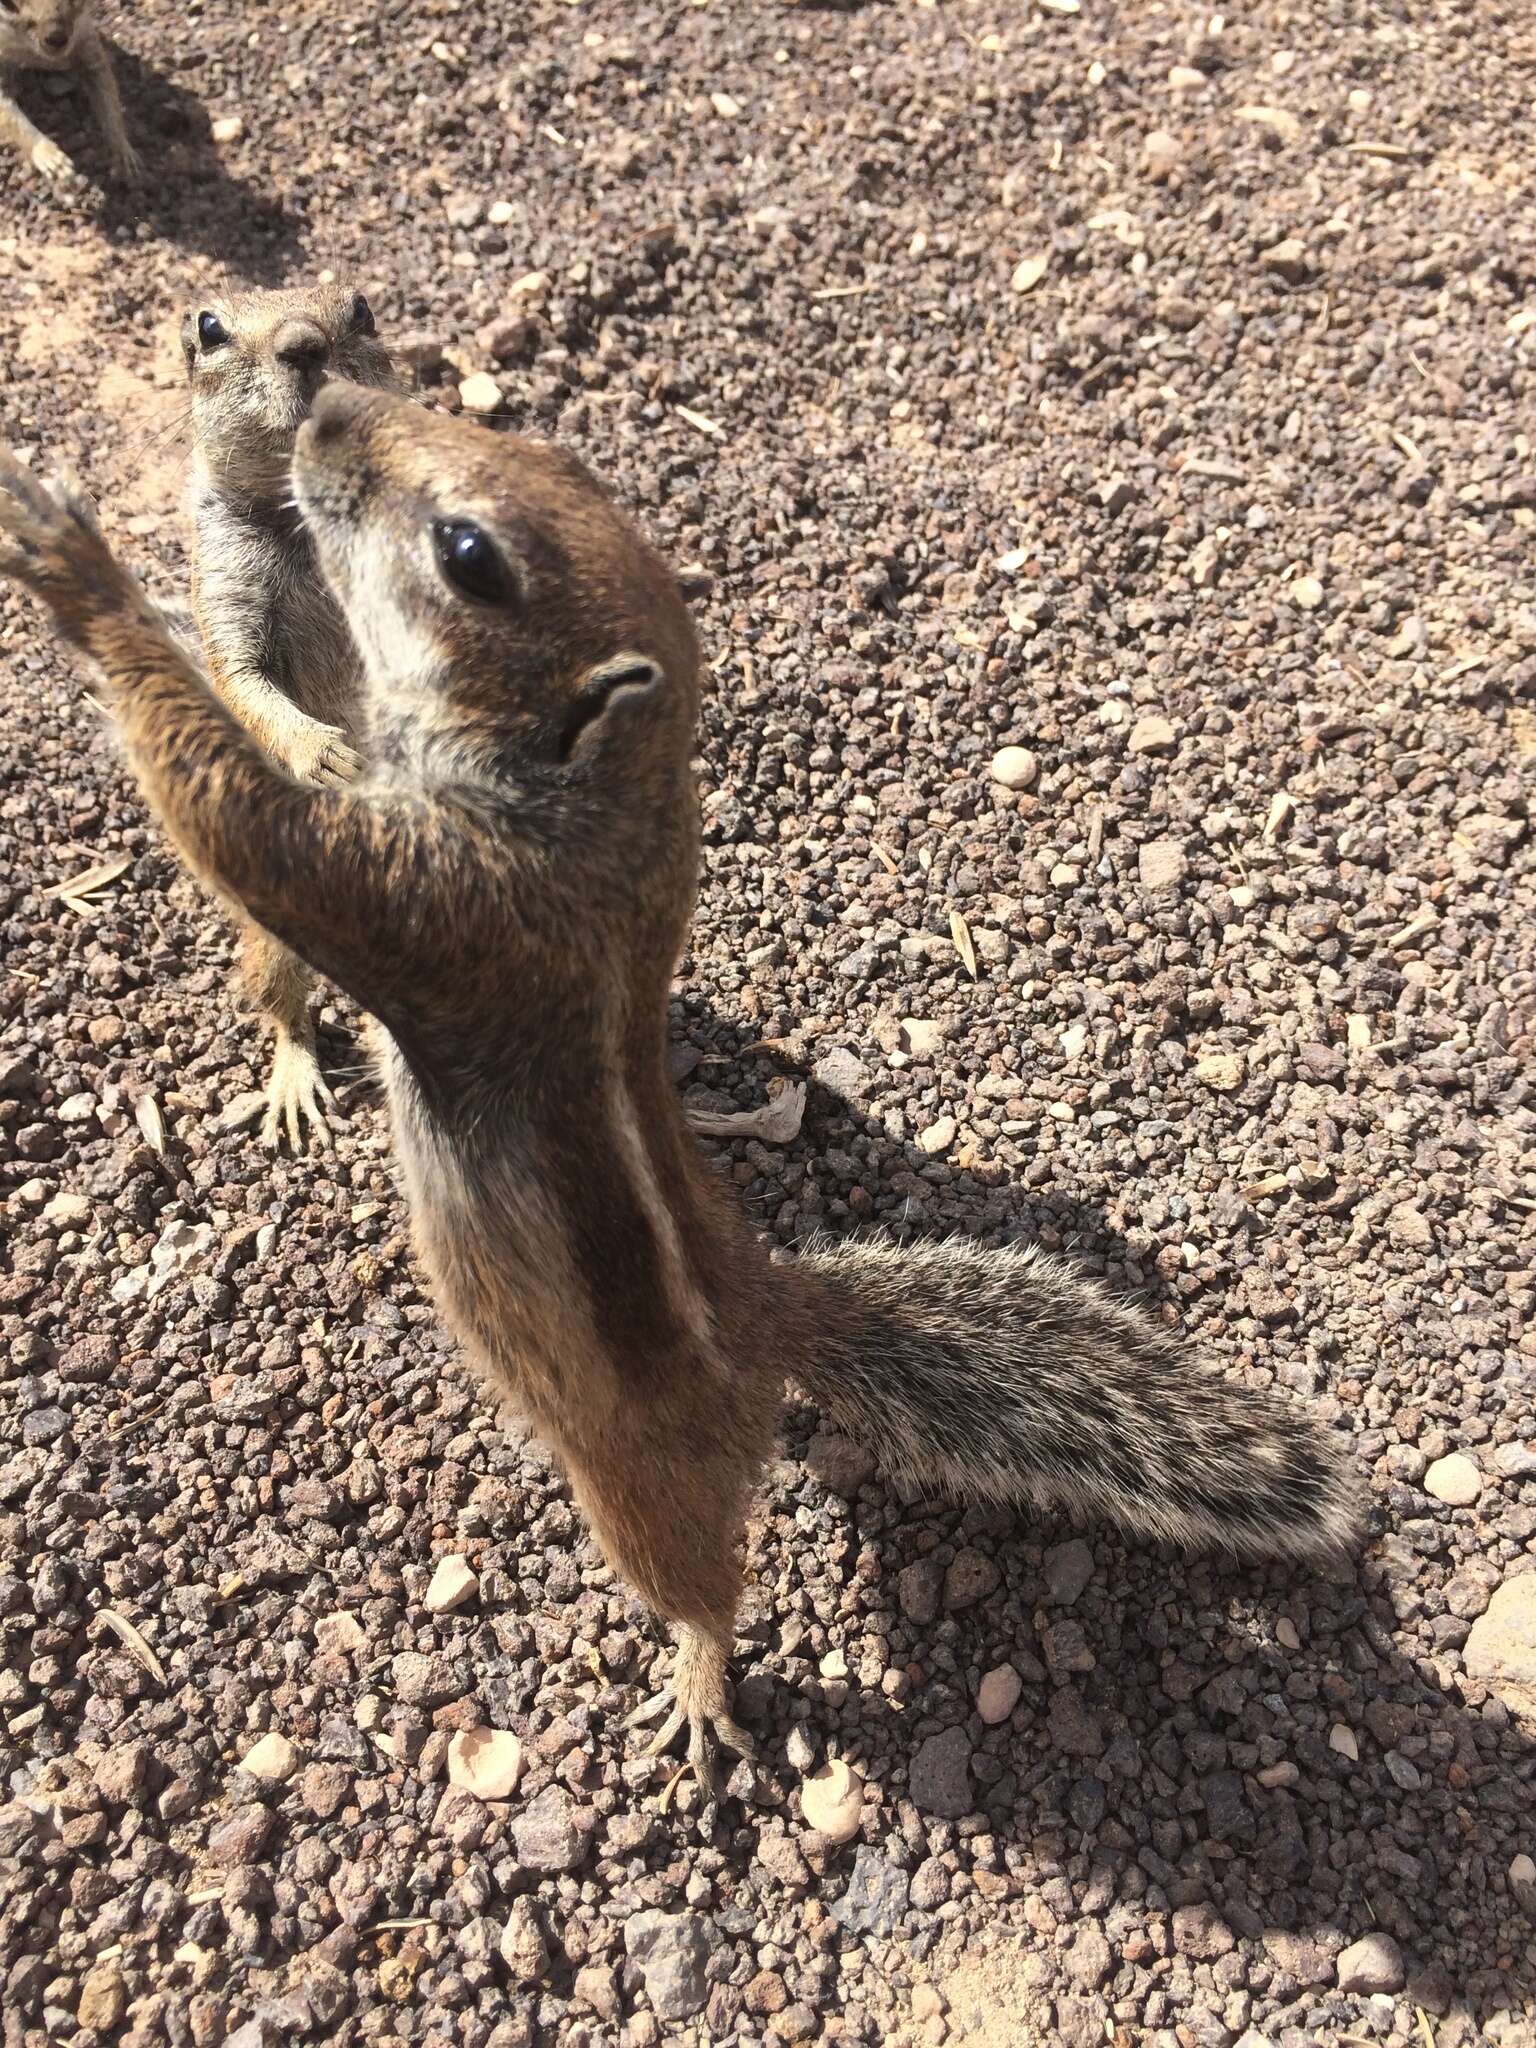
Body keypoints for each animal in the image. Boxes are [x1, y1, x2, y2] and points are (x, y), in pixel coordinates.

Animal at [0, 0, 140, 182]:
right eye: (9, 4)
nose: (56, 38)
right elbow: (12, 120)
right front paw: (52, 159)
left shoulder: (87, 40)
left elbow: (109, 99)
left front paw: (123, 152)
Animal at [0, 403, 1368, 1810]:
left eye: (469, 553)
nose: (326, 414)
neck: (604, 807)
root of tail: (775, 1310)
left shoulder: (433, 895)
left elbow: (242, 818)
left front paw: (77, 569)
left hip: (645, 1484)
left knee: (704, 1584)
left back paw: (700, 1685)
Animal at [180, 282, 403, 1155]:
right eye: (208, 328)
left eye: (363, 309)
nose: (306, 344)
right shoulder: (224, 587)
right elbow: (246, 681)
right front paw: (322, 752)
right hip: (272, 935)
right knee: (282, 1004)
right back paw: (295, 1085)